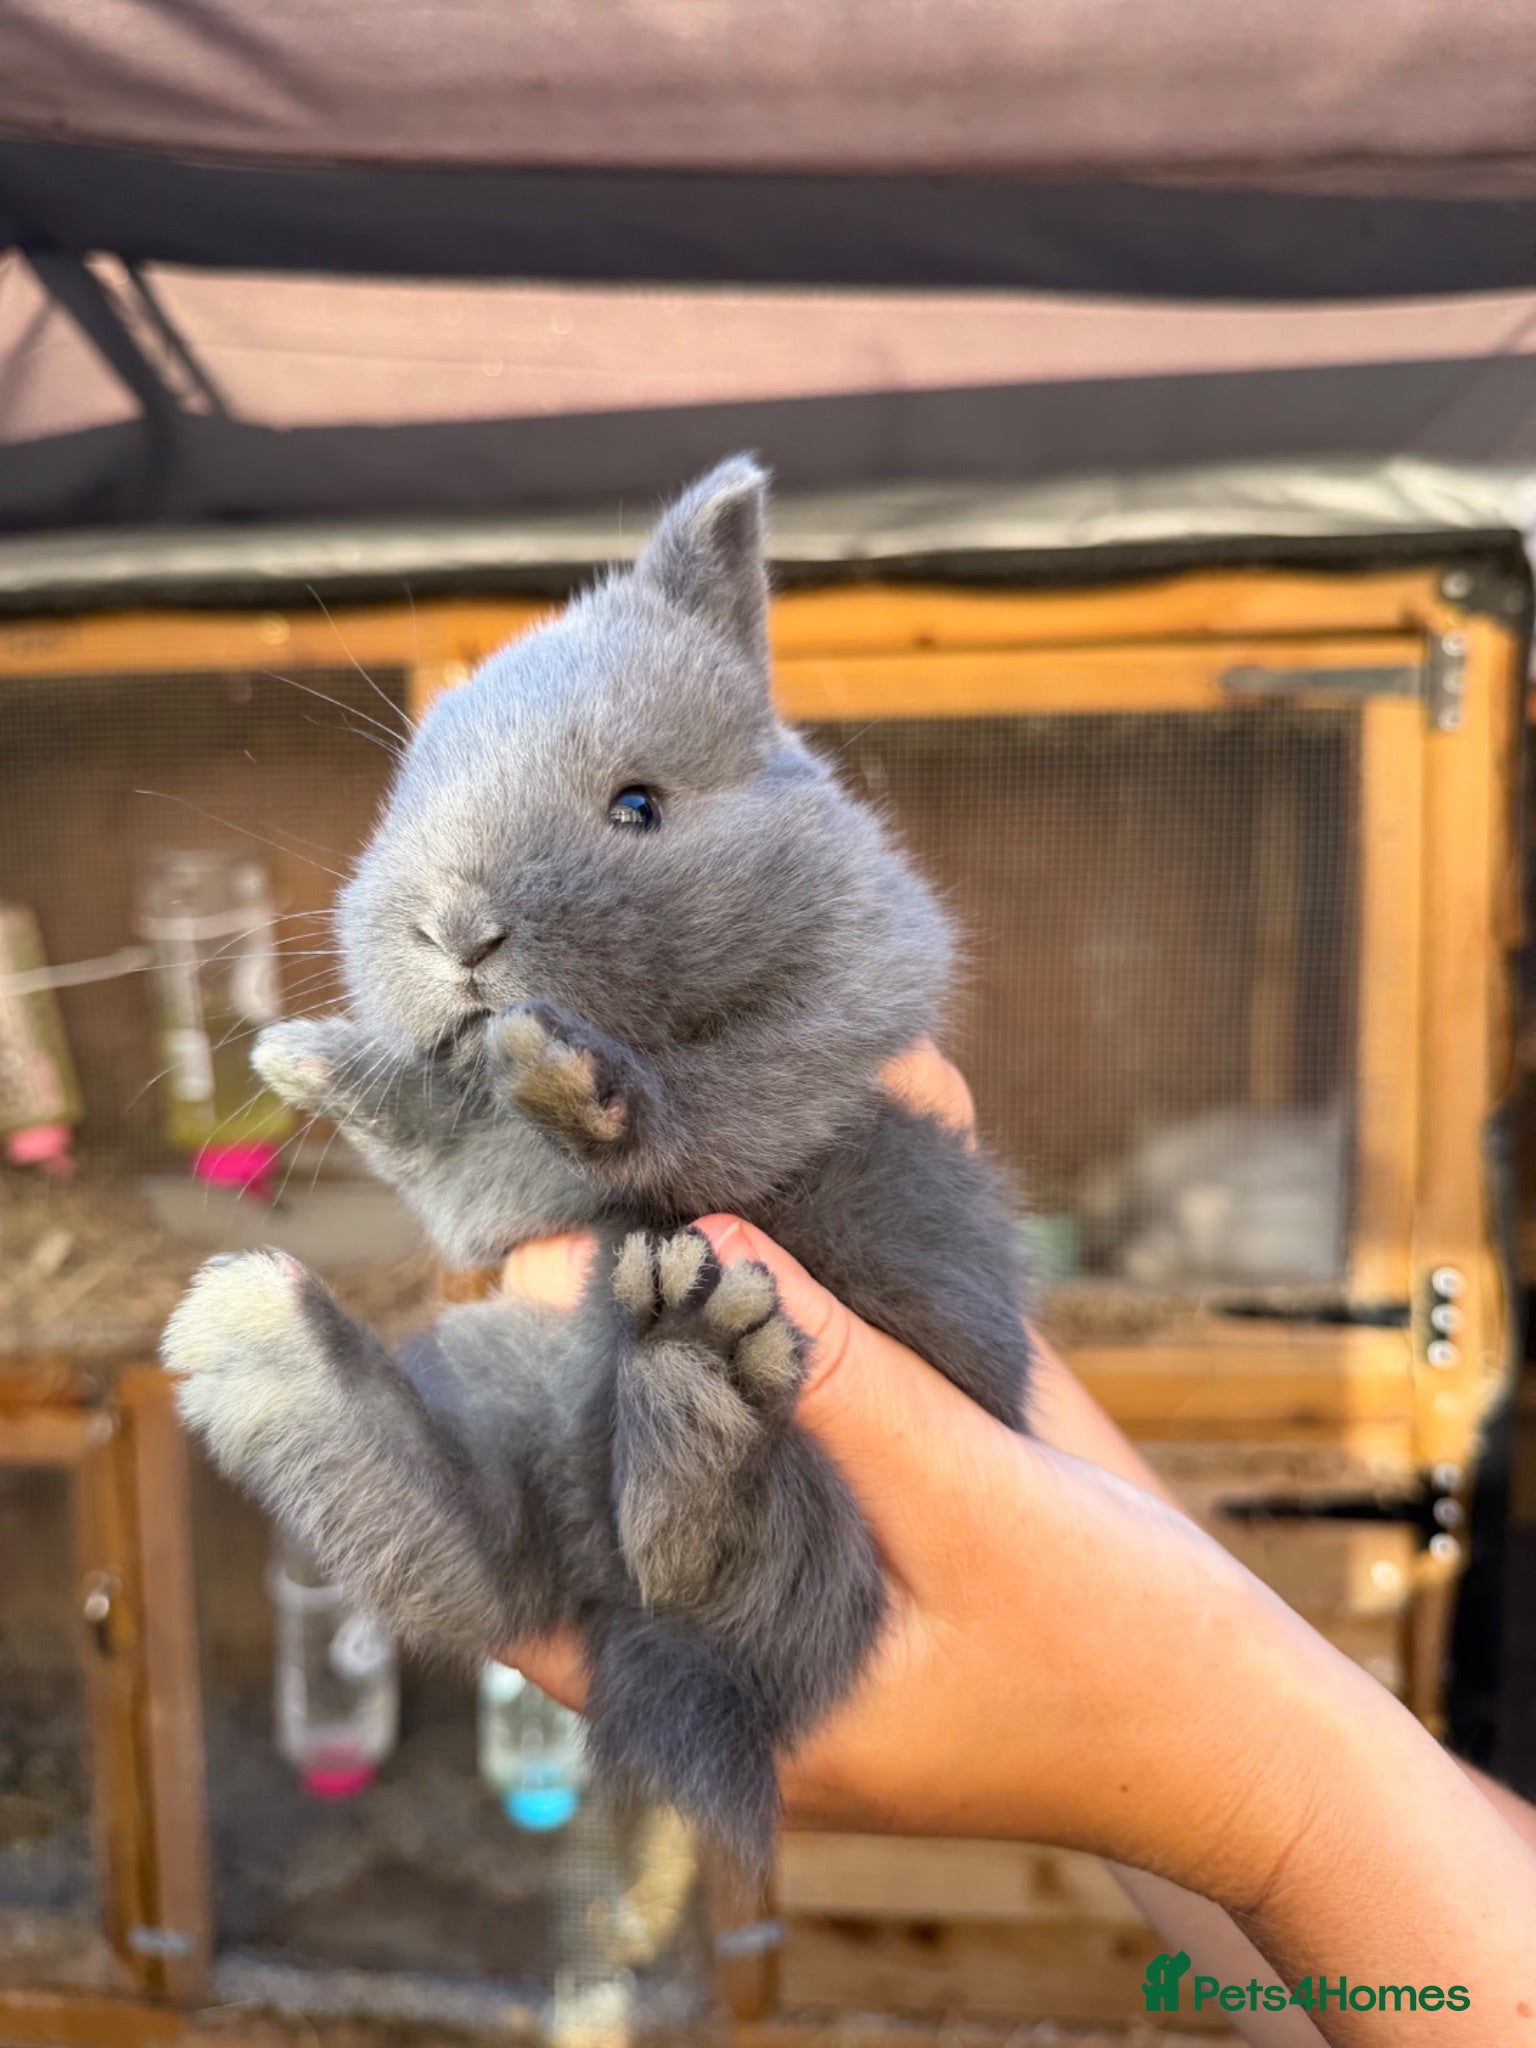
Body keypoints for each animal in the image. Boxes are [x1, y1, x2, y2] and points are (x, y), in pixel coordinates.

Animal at [162, 456, 1034, 1872]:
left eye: (639, 806)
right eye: (405, 804)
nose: (457, 931)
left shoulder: (814, 1039)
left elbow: (676, 1115)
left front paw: (563, 1076)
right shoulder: (475, 1201)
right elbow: (441, 1135)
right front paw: (308, 1058)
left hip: (833, 1517)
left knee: (742, 1580)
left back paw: (690, 1378)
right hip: (499, 1389)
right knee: (486, 1563)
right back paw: (264, 1341)